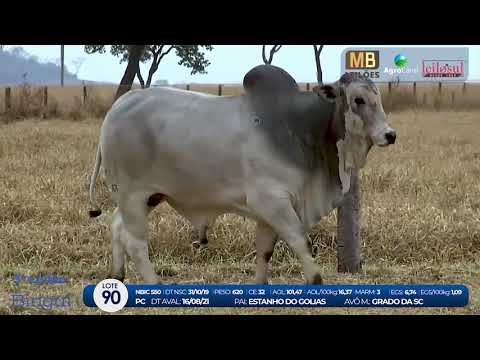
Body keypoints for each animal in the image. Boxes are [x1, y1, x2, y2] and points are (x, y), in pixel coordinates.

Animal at [88, 64, 396, 284]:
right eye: (358, 100)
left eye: (379, 98)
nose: (390, 135)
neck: (300, 128)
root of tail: (115, 109)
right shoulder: (272, 201)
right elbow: (300, 240)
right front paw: (315, 280)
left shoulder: (269, 210)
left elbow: (265, 250)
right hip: (132, 195)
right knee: (136, 242)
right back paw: (153, 285)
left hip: (148, 196)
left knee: (117, 227)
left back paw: (117, 275)